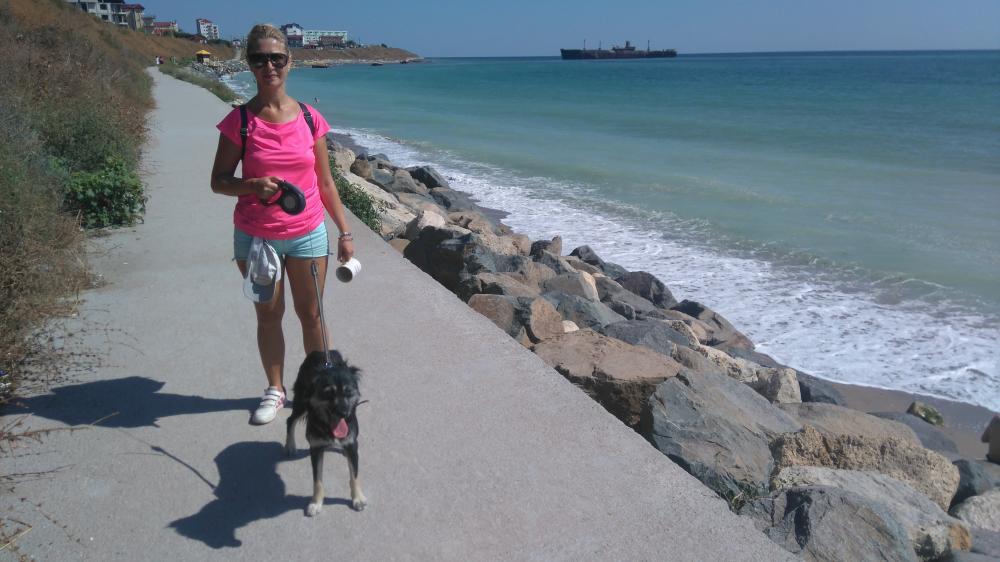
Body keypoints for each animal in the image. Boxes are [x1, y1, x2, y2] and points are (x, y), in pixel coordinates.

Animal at [285, 349, 367, 516]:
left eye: (349, 392)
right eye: (328, 393)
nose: (344, 413)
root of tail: (320, 351)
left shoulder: (352, 444)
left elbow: (354, 475)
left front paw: (358, 498)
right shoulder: (315, 448)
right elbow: (317, 480)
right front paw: (316, 503)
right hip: (301, 401)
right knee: (290, 420)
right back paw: (290, 446)